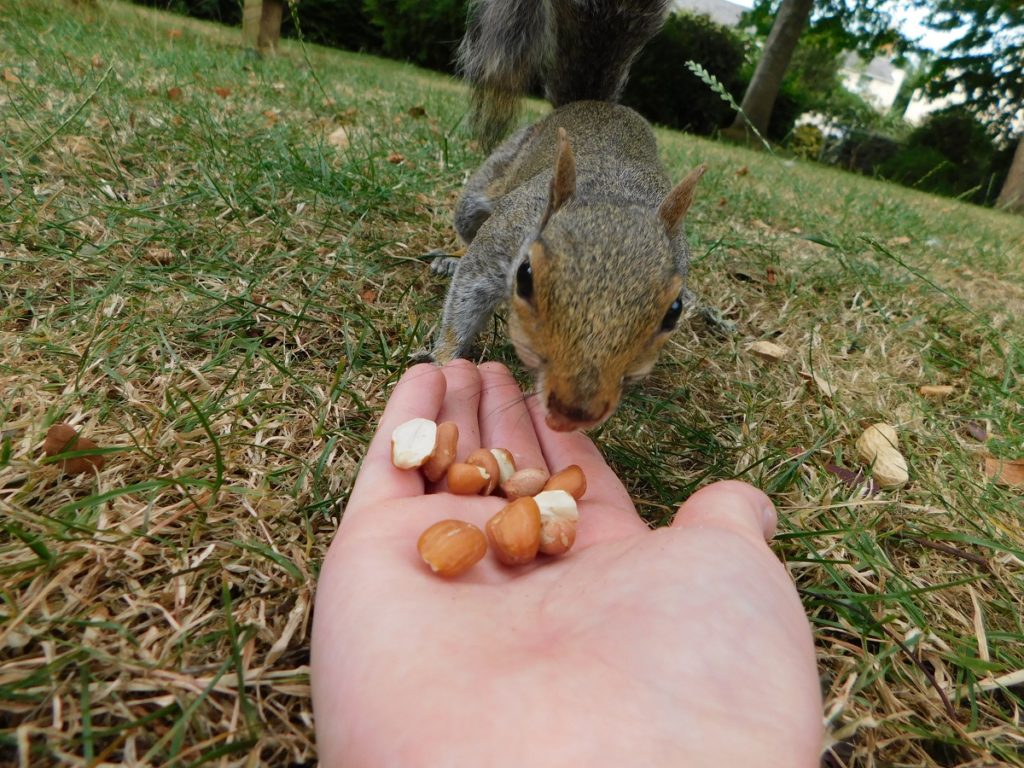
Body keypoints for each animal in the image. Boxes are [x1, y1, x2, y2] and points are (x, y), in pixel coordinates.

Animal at [423, 0, 704, 434]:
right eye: (525, 275)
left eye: (673, 312)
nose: (577, 408)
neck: (610, 198)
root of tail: (592, 104)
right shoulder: (503, 239)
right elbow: (466, 296)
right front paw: (443, 359)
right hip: (485, 189)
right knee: (469, 228)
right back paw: (448, 260)